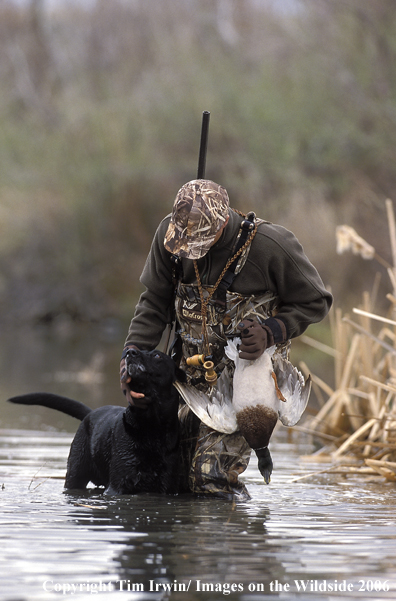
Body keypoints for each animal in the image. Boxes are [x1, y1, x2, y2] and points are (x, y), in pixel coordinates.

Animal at [8, 350, 186, 494]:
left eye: (157, 355)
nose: (130, 352)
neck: (151, 426)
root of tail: (90, 413)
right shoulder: (117, 485)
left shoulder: (167, 486)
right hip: (75, 473)